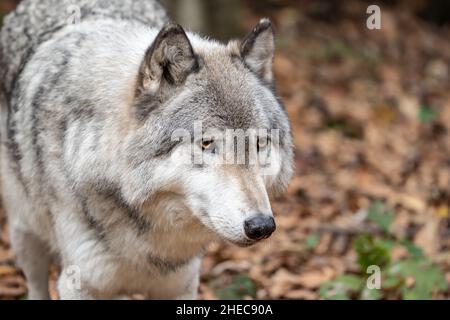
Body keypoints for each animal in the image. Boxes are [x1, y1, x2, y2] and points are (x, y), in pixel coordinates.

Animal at [0, 0, 294, 300]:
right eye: (206, 143)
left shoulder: (181, 285)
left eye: (259, 143)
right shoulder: (79, 285)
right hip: (24, 235)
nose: (261, 226)